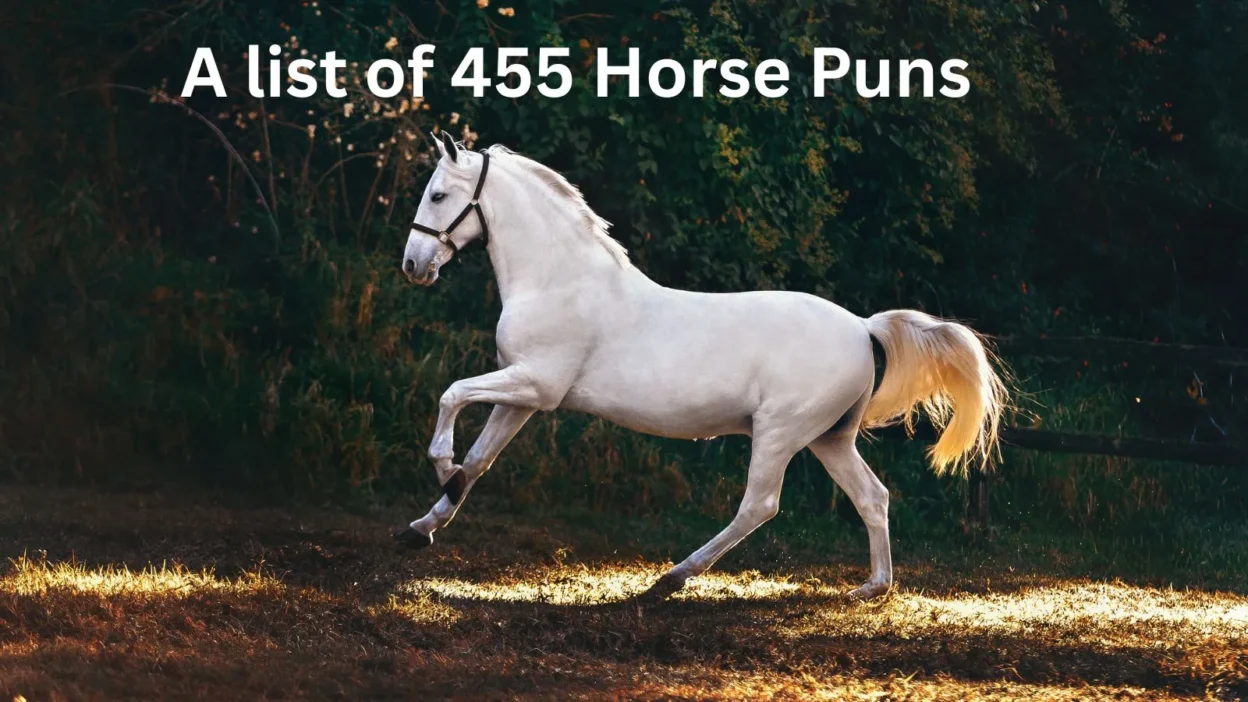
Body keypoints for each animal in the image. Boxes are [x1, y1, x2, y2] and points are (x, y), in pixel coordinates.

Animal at [395, 131, 1007, 600]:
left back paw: (672, 578)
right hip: (829, 438)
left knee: (759, 505)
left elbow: (452, 395)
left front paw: (440, 466)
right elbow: (480, 460)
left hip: (780, 432)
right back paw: (872, 587)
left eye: (439, 194)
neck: (559, 280)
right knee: (872, 497)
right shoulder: (521, 396)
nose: (413, 266)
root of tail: (862, 327)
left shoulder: (535, 386)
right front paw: (423, 526)